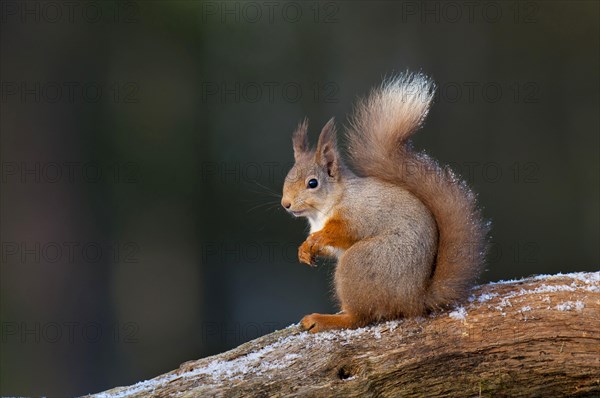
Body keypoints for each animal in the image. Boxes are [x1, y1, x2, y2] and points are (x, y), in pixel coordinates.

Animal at [280, 74, 488, 332]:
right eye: (287, 176)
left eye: (312, 183)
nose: (286, 204)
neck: (323, 210)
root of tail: (413, 299)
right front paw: (304, 250)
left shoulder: (360, 213)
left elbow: (345, 231)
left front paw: (317, 239)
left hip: (360, 263)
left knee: (359, 317)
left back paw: (325, 319)